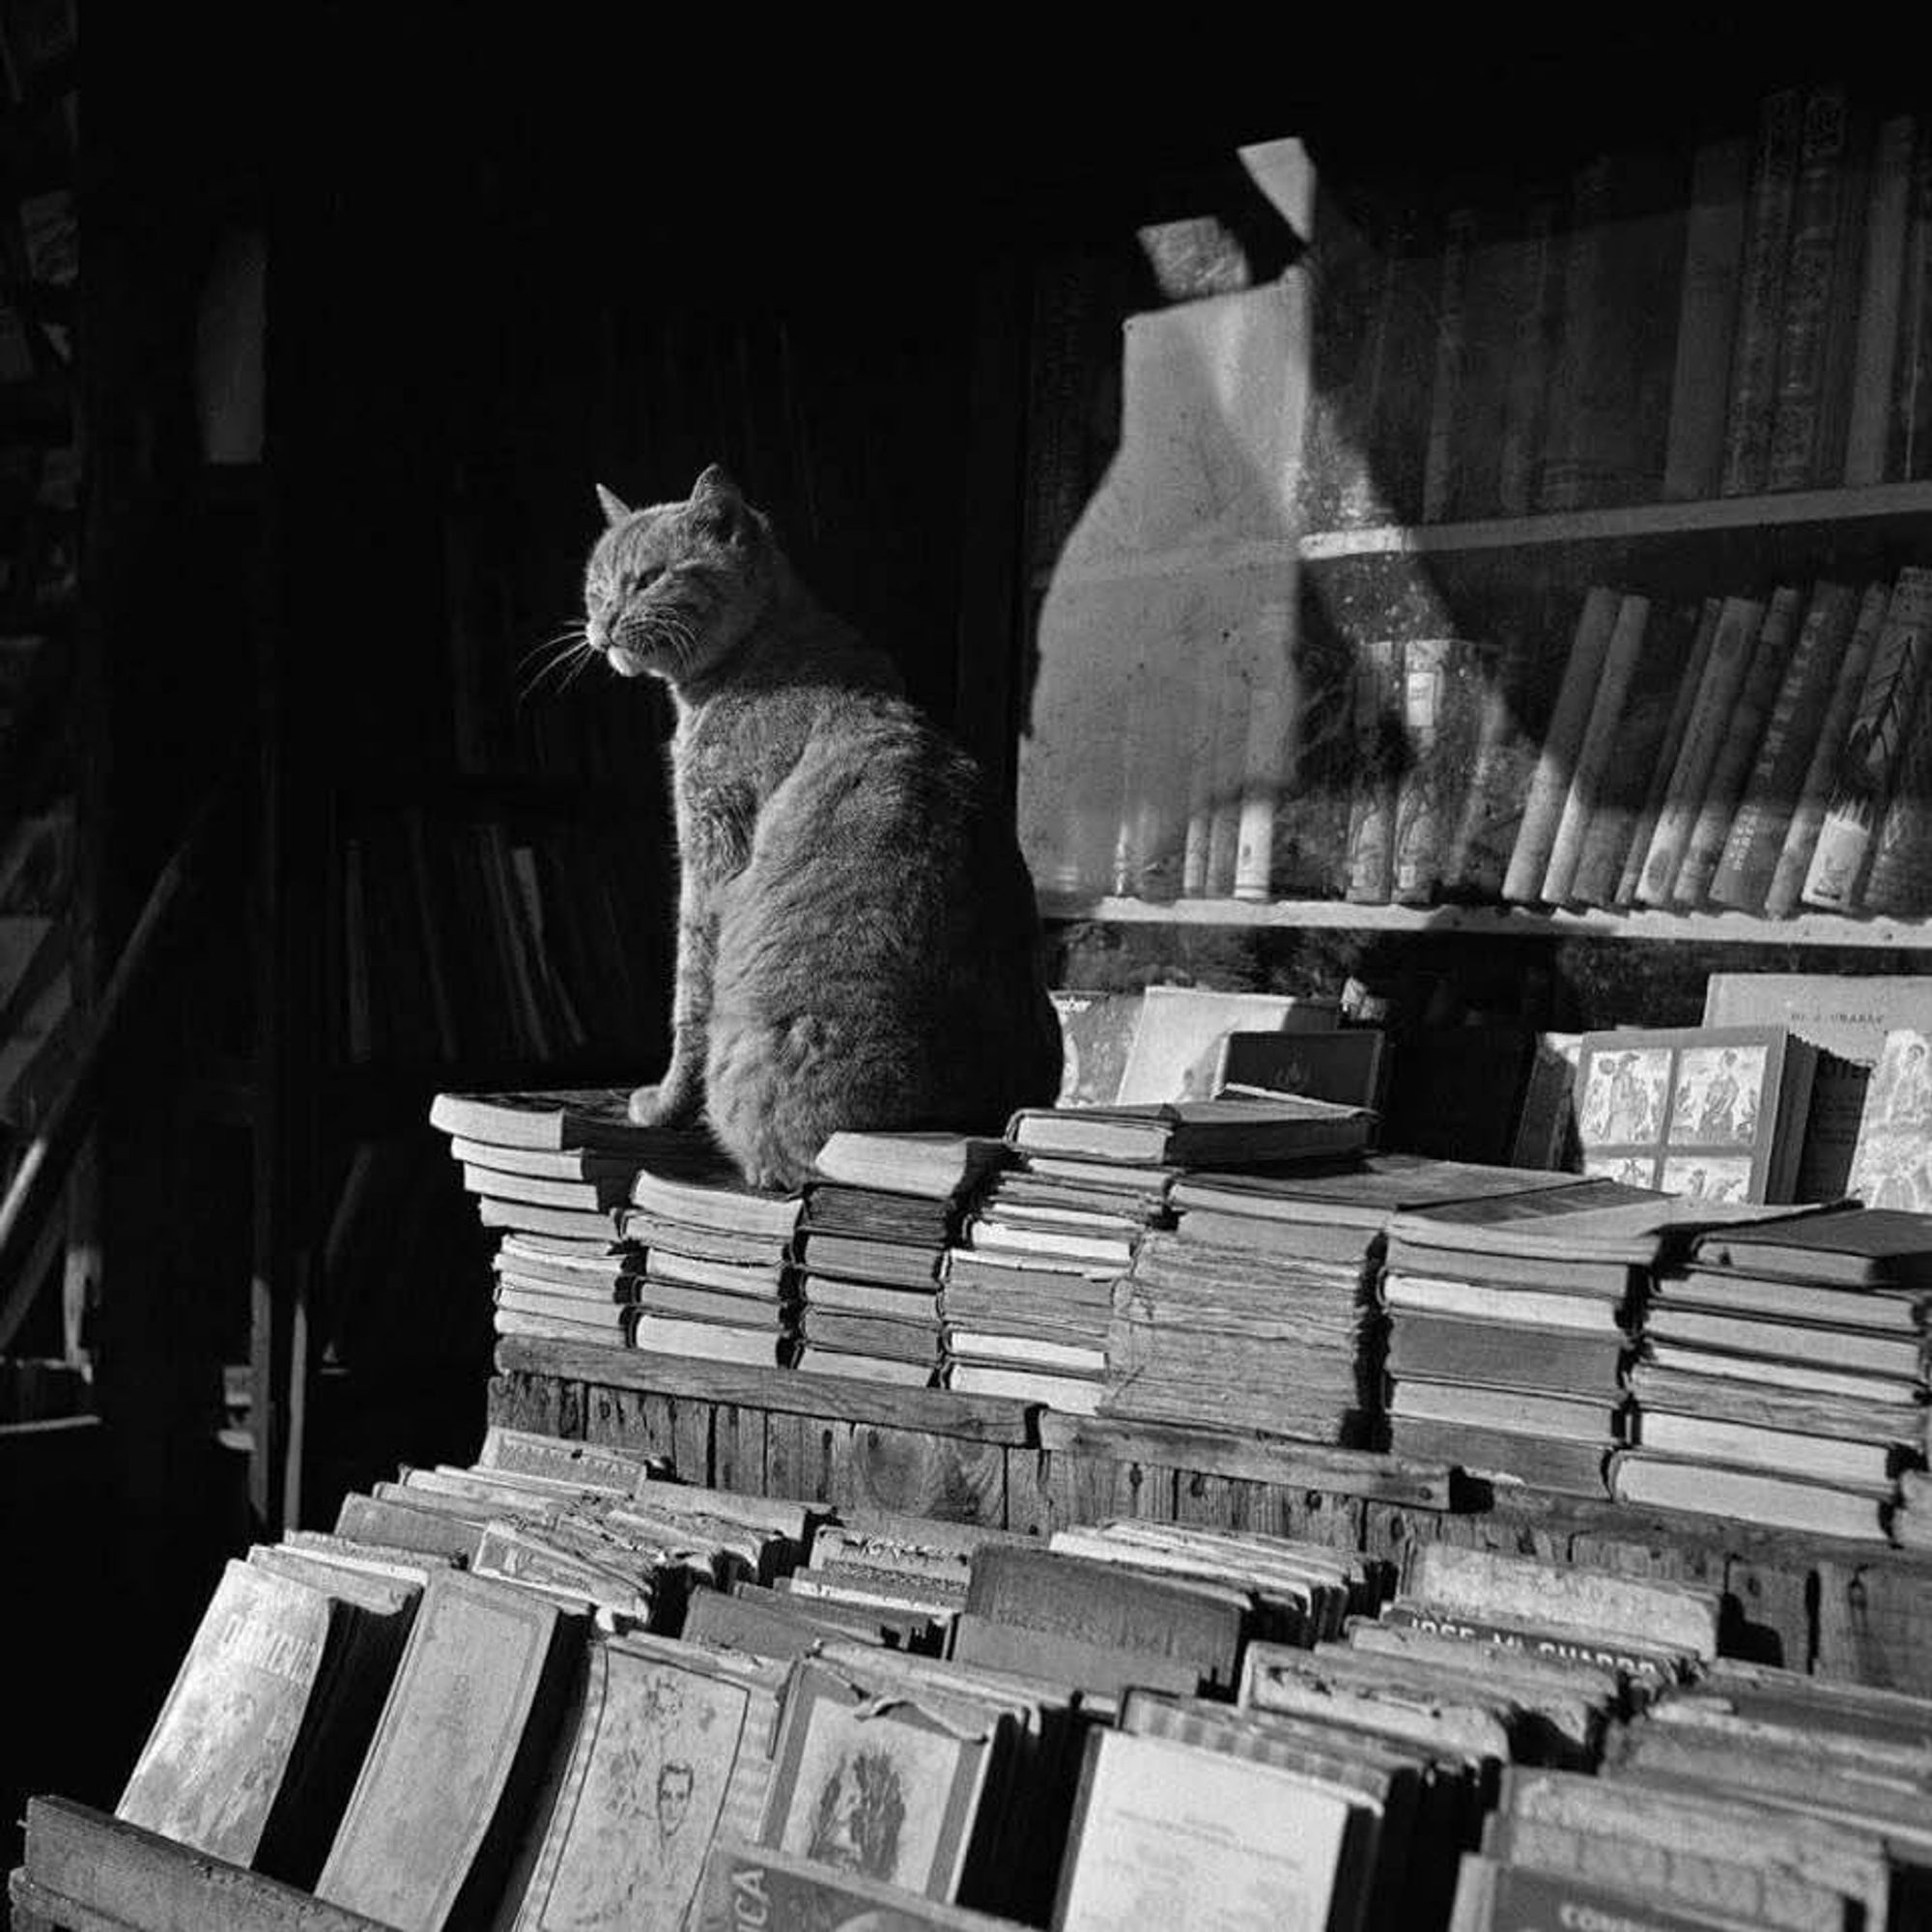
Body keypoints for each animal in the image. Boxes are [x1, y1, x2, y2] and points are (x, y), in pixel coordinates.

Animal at [587, 468, 1074, 1190]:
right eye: (596, 585)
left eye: (648, 579)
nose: (601, 623)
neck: (762, 651)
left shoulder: (710, 858)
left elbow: (688, 1000)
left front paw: (659, 1105)